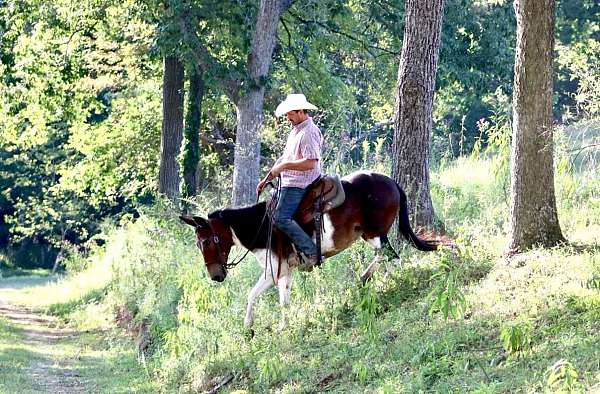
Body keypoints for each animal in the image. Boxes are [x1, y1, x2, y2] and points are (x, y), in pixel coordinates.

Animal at [178, 171, 436, 328]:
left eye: (207, 241)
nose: (216, 276)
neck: (261, 225)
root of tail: (391, 182)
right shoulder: (284, 272)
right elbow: (277, 299)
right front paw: (273, 326)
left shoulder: (274, 271)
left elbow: (260, 296)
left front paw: (259, 326)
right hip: (369, 234)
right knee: (386, 256)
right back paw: (368, 280)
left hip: (374, 234)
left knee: (390, 256)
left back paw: (380, 281)